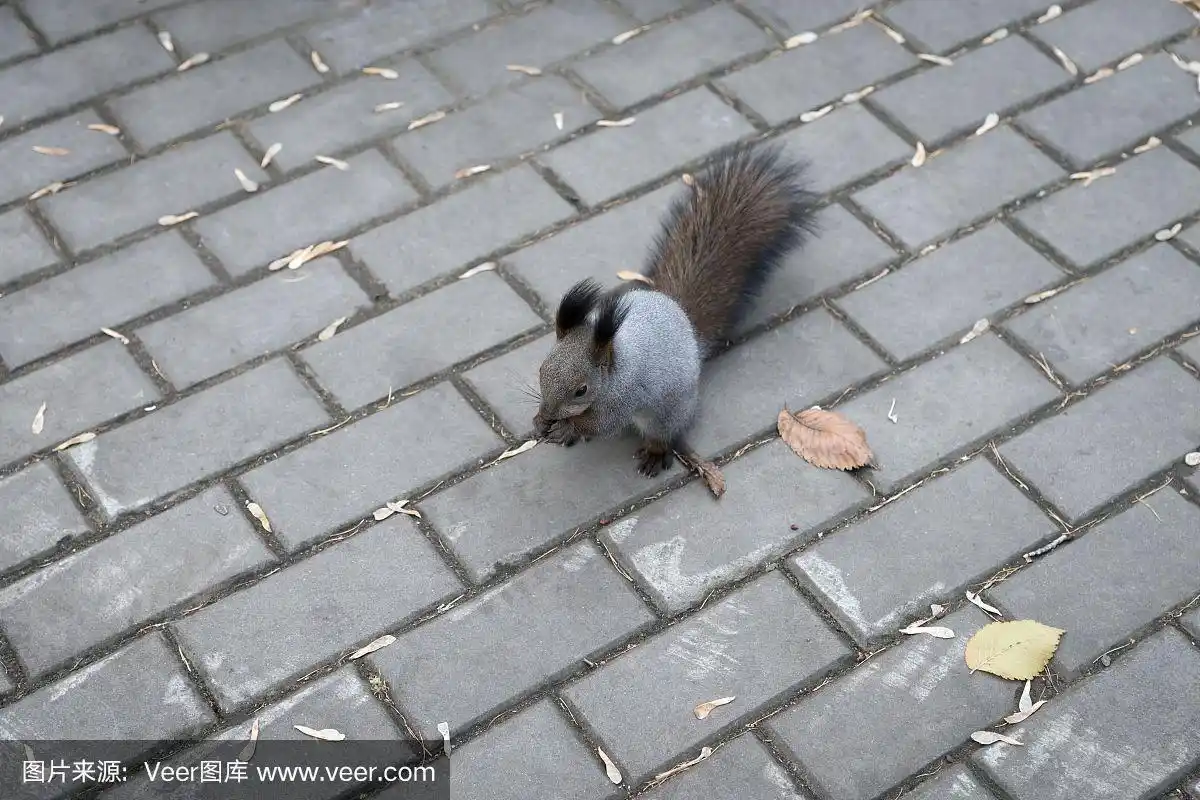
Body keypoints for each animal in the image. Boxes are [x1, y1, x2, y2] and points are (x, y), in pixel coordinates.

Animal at [537, 143, 825, 474]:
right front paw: (541, 421)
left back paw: (654, 453)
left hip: (669, 412)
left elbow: (601, 425)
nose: (548, 413)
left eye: (581, 390)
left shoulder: (623, 398)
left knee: (664, 432)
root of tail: (683, 320)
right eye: (541, 370)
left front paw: (568, 428)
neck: (613, 363)